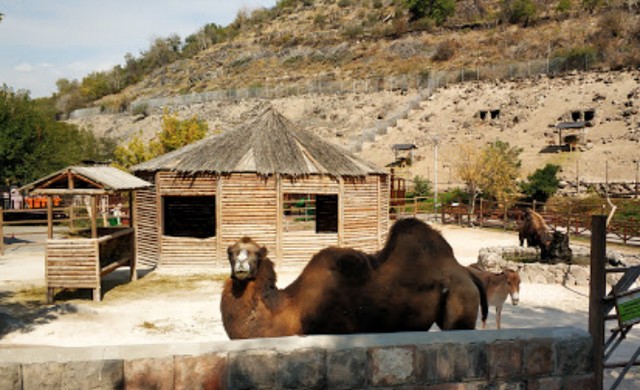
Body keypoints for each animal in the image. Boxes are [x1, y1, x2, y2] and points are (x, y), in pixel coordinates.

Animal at [221, 216, 490, 338]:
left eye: (256, 254)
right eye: (231, 252)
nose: (241, 265)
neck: (290, 310)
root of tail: (466, 272)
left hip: (461, 300)